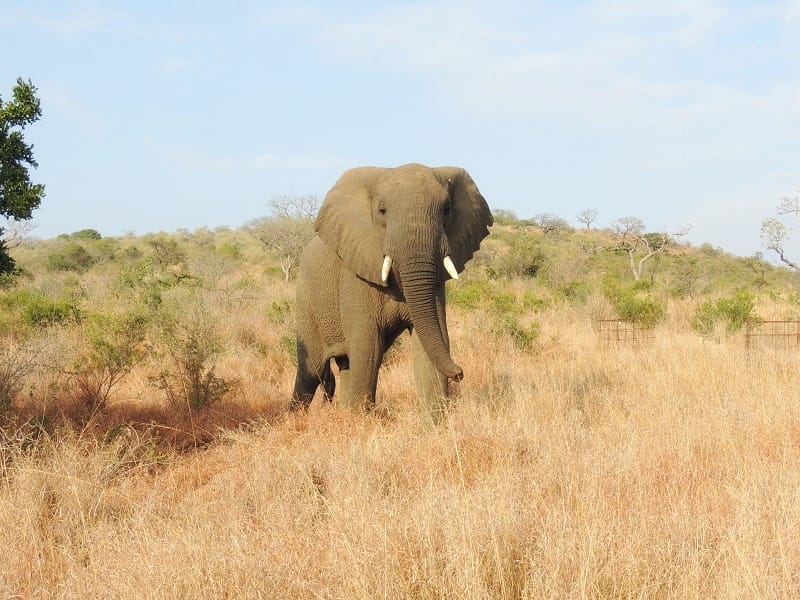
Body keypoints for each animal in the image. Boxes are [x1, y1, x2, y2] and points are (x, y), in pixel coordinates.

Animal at [292, 162, 494, 420]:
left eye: (447, 210)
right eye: (382, 210)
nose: (460, 373)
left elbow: (431, 340)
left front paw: (433, 424)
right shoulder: (356, 272)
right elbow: (369, 347)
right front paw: (362, 424)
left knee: (346, 365)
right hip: (306, 302)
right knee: (311, 372)